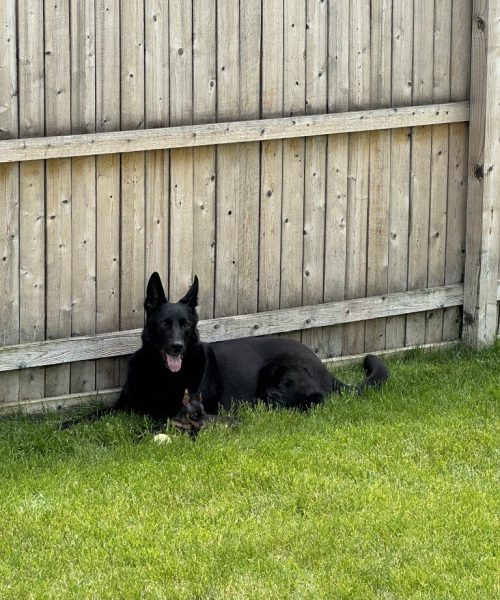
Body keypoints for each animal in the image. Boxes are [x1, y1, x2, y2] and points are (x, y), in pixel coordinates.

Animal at [63, 274, 390, 428]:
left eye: (185, 324)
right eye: (164, 323)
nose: (177, 347)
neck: (160, 373)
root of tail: (321, 364)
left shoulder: (176, 411)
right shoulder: (121, 406)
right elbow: (89, 416)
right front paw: (64, 427)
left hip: (276, 374)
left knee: (314, 400)